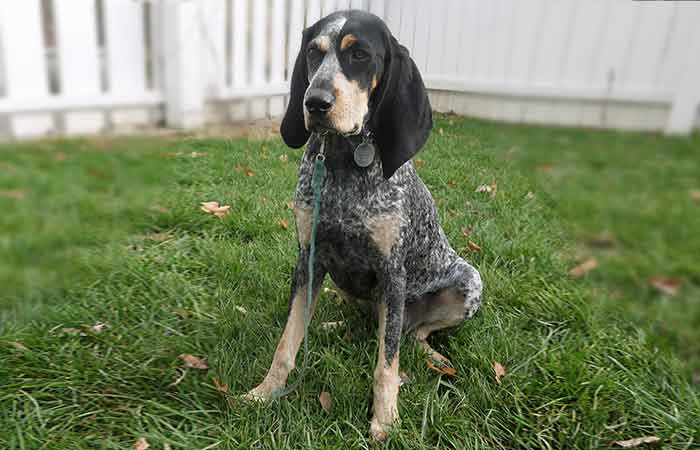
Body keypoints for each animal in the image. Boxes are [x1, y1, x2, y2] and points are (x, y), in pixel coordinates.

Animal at [245, 8, 482, 442]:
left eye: (359, 55)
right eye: (313, 52)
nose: (314, 102)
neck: (343, 160)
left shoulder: (392, 273)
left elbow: (385, 367)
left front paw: (384, 421)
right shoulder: (308, 259)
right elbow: (287, 342)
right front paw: (265, 392)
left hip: (468, 283)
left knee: (408, 334)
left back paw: (430, 353)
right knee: (369, 323)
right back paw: (332, 324)